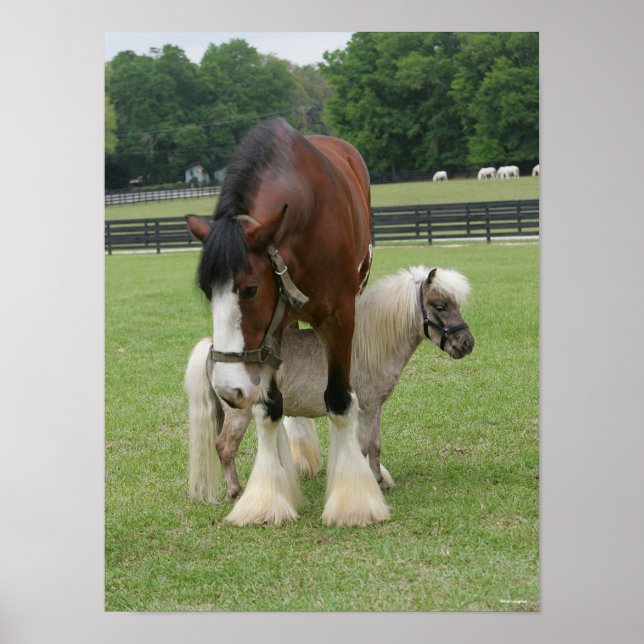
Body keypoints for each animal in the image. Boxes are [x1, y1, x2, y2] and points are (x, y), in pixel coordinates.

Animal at [184, 117, 387, 526]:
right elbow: (270, 406)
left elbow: (340, 399)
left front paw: (353, 498)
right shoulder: (273, 327)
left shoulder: (341, 318)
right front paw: (267, 496)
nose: (227, 388)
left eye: (249, 289)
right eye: (206, 291)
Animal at [185, 266, 474, 505]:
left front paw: (379, 481)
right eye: (439, 305)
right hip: (239, 413)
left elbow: (376, 446)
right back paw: (237, 493)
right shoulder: (365, 409)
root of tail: (214, 346)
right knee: (225, 447)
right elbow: (363, 447)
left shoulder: (375, 407)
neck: (367, 346)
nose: (467, 344)